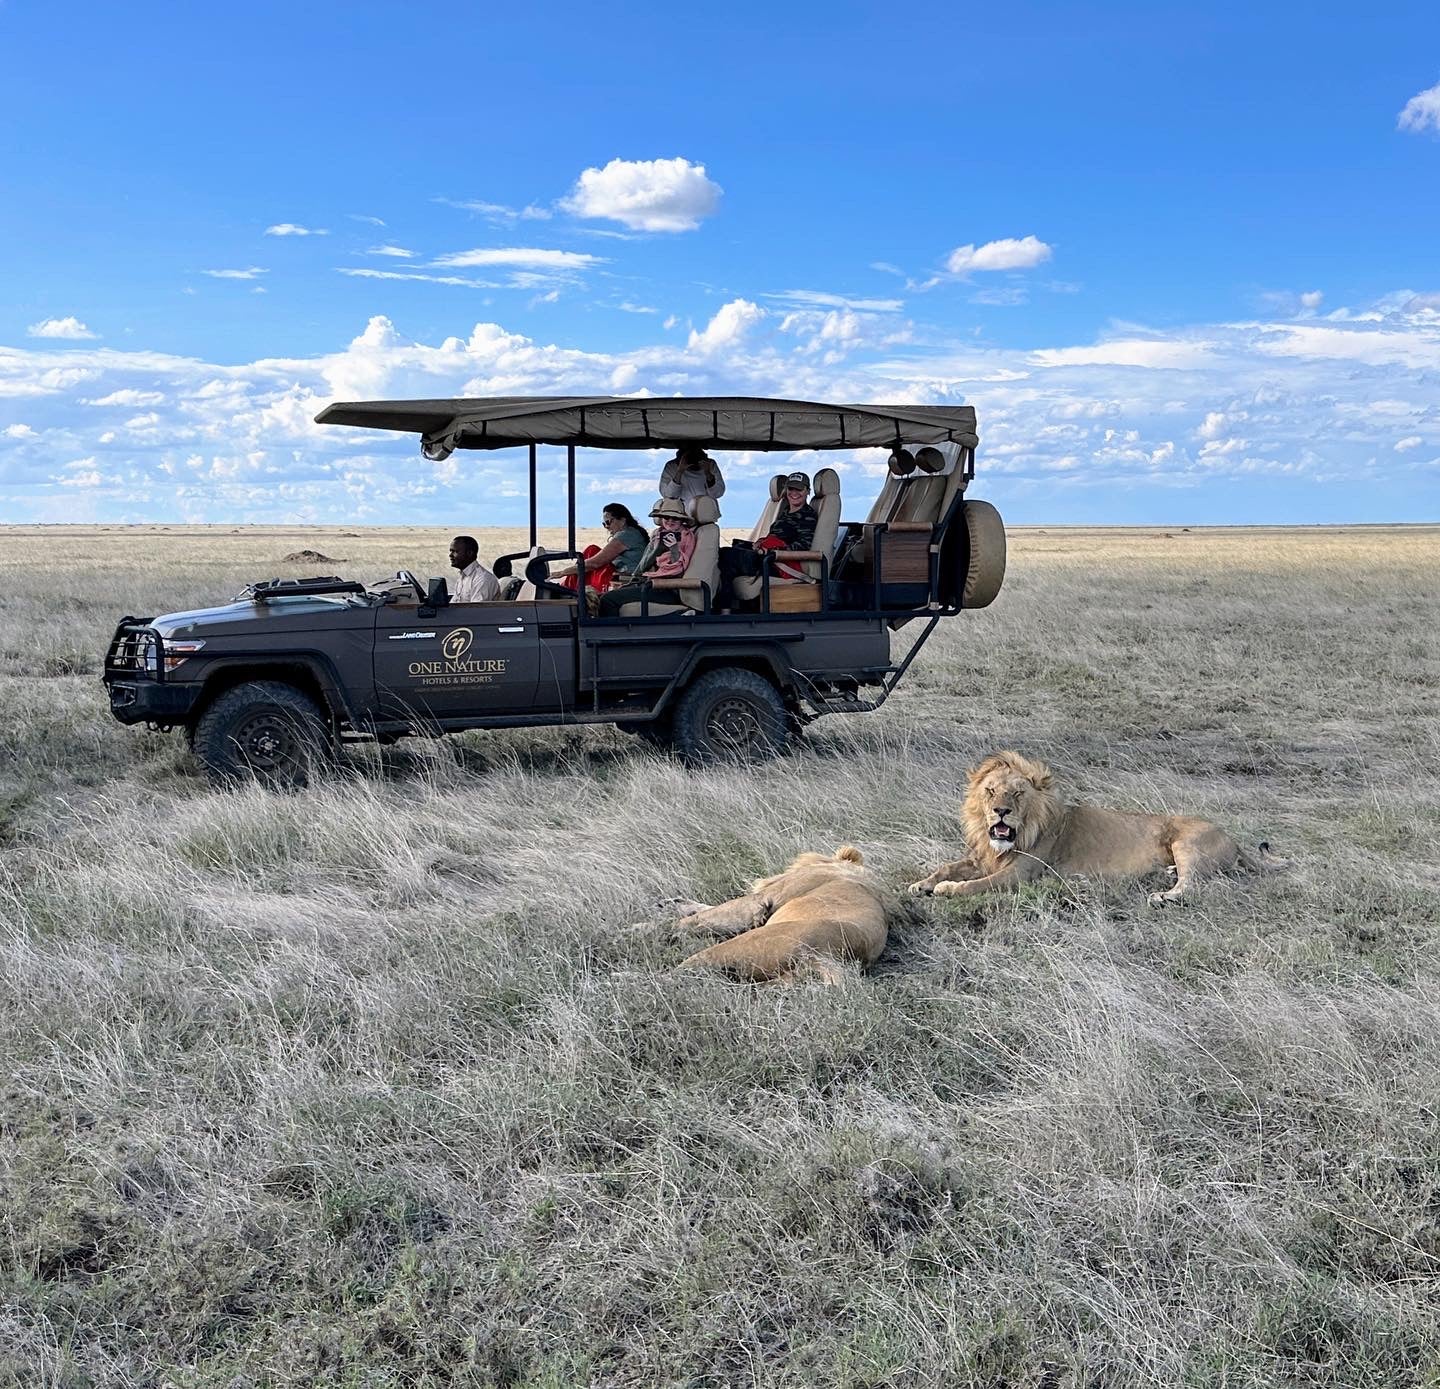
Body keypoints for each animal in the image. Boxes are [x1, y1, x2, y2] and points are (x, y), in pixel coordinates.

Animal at [668, 846, 892, 984]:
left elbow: (719, 912)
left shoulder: (765, 898)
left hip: (743, 945)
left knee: (682, 973)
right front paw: (675, 903)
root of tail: (829, 956)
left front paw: (665, 926)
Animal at [910, 754, 1284, 903]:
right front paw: (921, 884)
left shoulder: (1021, 874)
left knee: (1193, 885)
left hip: (1188, 843)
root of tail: (1233, 839)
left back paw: (1164, 896)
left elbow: (977, 885)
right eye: (990, 791)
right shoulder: (981, 857)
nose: (1001, 812)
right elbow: (947, 866)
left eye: (1017, 793)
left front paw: (946, 889)